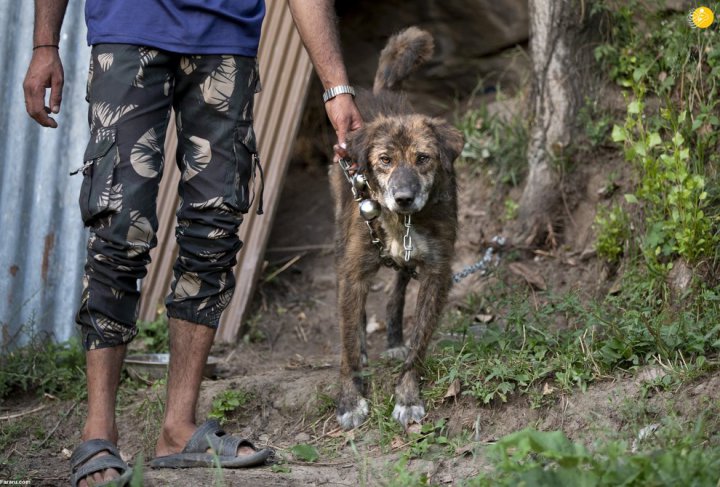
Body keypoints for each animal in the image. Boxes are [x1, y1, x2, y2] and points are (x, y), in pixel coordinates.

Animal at [334, 27, 466, 430]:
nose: (404, 198)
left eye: (423, 159)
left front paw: (407, 396)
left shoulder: (437, 271)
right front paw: (350, 398)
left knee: (396, 291)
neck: (400, 222)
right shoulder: (352, 271)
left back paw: (393, 338)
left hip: (409, 263)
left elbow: (420, 341)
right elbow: (347, 341)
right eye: (385, 160)